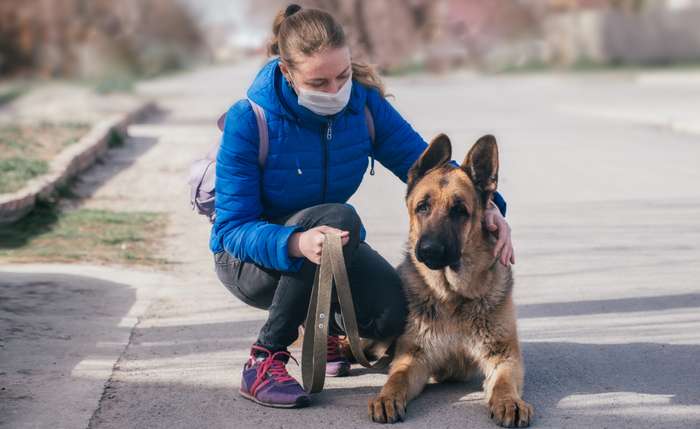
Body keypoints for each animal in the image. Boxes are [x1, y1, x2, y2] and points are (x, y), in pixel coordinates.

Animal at [370, 133, 532, 424]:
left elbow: (503, 384)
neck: (453, 296)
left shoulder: (504, 356)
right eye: (422, 207)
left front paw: (509, 402)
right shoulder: (412, 357)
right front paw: (386, 397)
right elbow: (396, 379)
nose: (429, 250)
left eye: (460, 210)